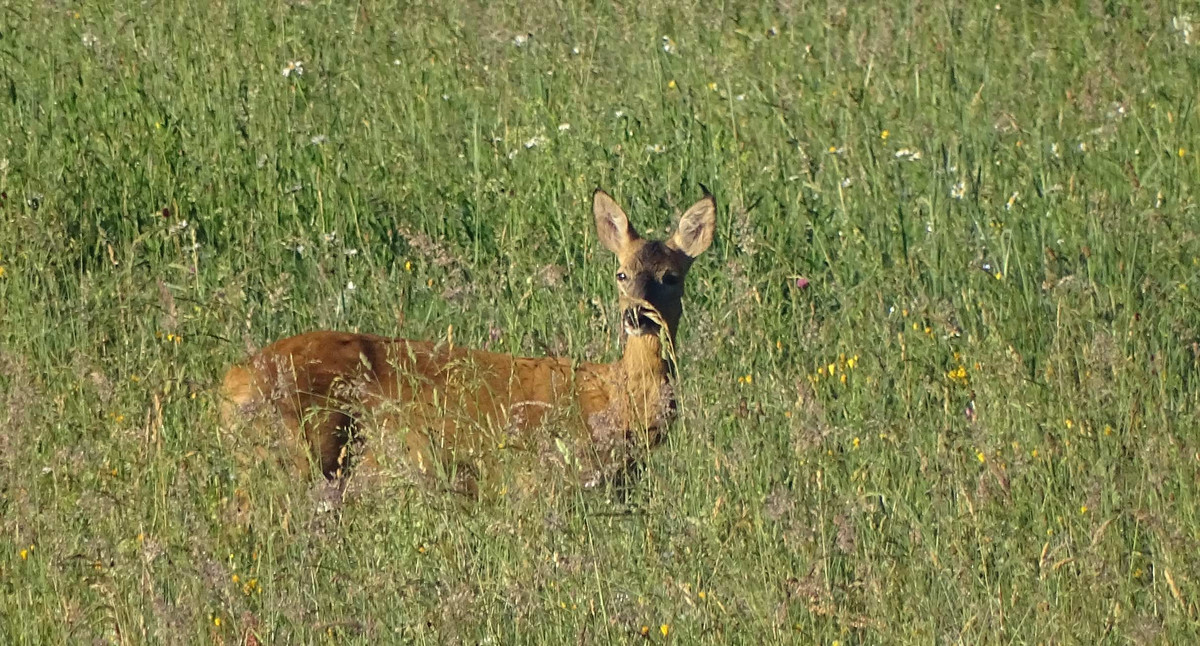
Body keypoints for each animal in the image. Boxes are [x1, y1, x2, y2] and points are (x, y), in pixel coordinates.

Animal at [220, 189, 716, 496]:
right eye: (621, 273)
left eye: (671, 277)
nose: (637, 314)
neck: (616, 402)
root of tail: (231, 382)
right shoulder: (538, 479)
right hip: (298, 454)